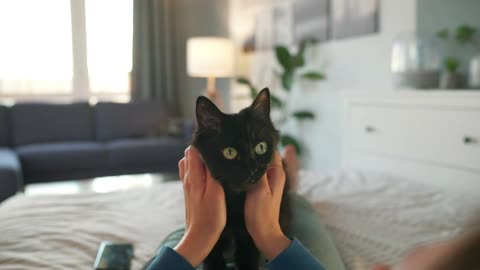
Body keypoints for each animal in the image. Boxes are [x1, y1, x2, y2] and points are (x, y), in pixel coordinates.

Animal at [192, 88, 290, 270]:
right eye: (229, 152)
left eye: (260, 147)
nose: (252, 170)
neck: (235, 199)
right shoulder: (212, 242)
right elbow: (212, 259)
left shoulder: (249, 240)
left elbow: (248, 260)